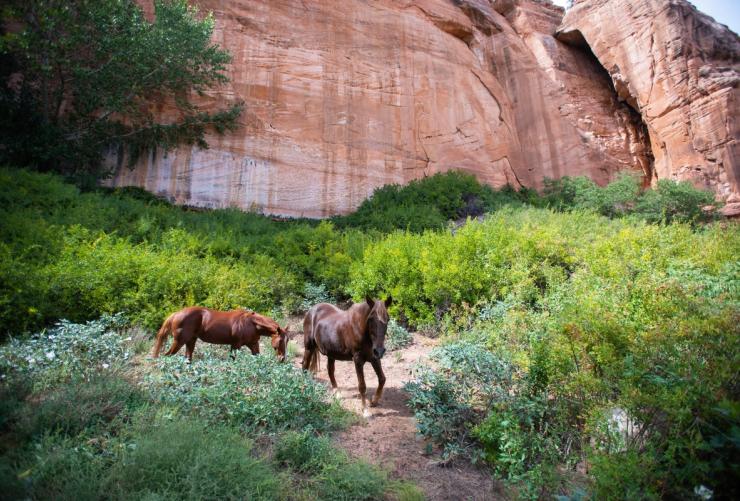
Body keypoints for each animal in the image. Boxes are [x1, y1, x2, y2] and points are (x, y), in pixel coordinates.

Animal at [151, 307, 290, 362]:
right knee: (166, 356)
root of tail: (176, 314)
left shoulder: (253, 344)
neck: (251, 323)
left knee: (187, 359)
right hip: (179, 341)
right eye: (280, 341)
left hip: (191, 341)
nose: (282, 359)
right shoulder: (235, 345)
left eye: (287, 341)